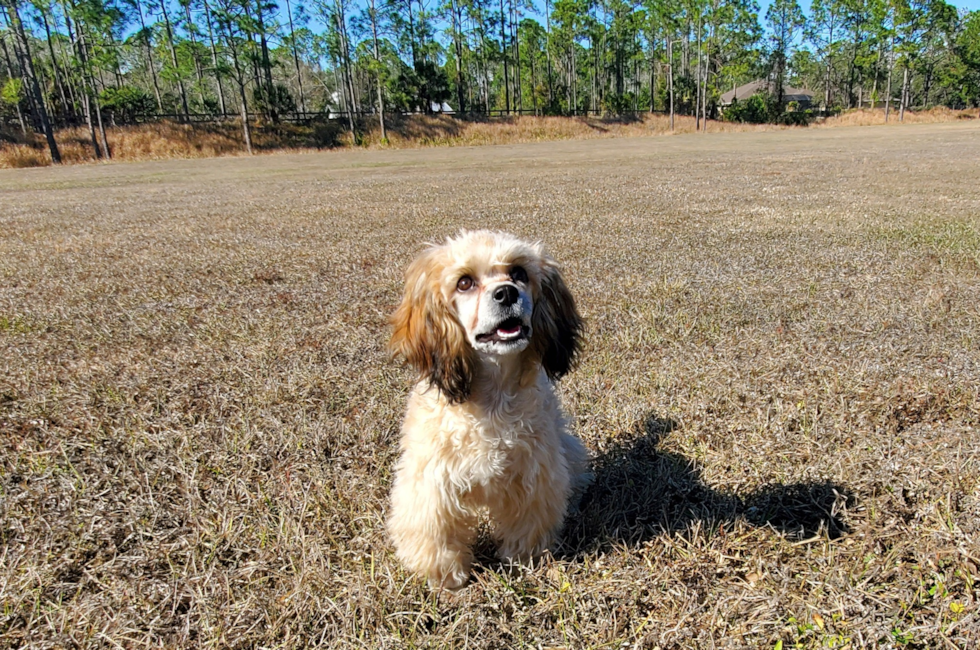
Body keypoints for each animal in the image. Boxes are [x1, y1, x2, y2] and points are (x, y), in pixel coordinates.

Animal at [388, 229, 588, 588]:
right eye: (464, 283)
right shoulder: (431, 483)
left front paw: (522, 561)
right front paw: (445, 577)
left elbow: (528, 524)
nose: (506, 292)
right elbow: (436, 532)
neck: (492, 399)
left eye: (519, 273)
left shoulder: (533, 476)